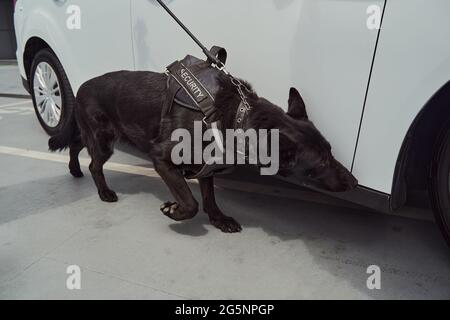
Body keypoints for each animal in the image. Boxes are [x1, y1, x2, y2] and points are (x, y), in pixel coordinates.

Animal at [48, 69, 358, 232]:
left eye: (331, 151)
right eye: (320, 164)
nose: (355, 182)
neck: (235, 117)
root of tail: (81, 85)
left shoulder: (206, 164)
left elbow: (208, 197)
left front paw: (218, 219)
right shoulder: (162, 159)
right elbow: (191, 202)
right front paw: (174, 211)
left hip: (97, 136)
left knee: (75, 144)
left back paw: (74, 169)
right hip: (104, 141)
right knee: (94, 164)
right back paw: (103, 191)